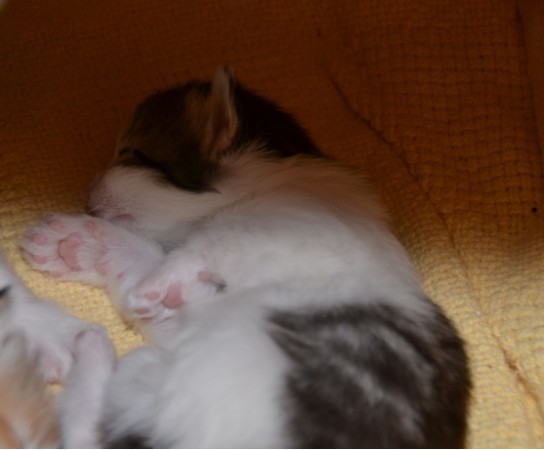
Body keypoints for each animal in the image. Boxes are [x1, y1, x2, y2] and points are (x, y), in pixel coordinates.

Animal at [22, 67, 470, 448]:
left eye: (131, 151)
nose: (88, 195)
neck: (270, 182)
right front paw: (84, 248)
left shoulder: (287, 227)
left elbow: (208, 243)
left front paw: (150, 279)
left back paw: (93, 345)